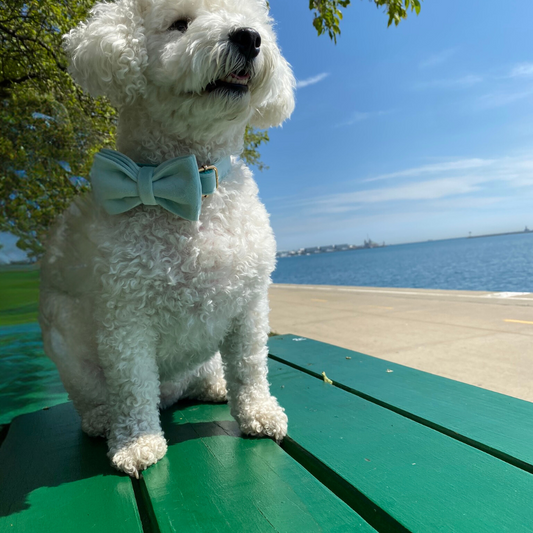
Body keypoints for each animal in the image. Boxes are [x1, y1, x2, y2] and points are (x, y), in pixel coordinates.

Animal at [38, 0, 296, 476]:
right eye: (180, 23)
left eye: (257, 22)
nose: (248, 37)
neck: (193, 187)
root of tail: (173, 392)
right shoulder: (125, 319)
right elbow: (132, 383)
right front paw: (137, 443)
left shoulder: (250, 303)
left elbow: (251, 365)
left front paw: (259, 412)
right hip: (64, 340)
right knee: (96, 396)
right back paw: (102, 419)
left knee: (210, 372)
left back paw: (214, 384)